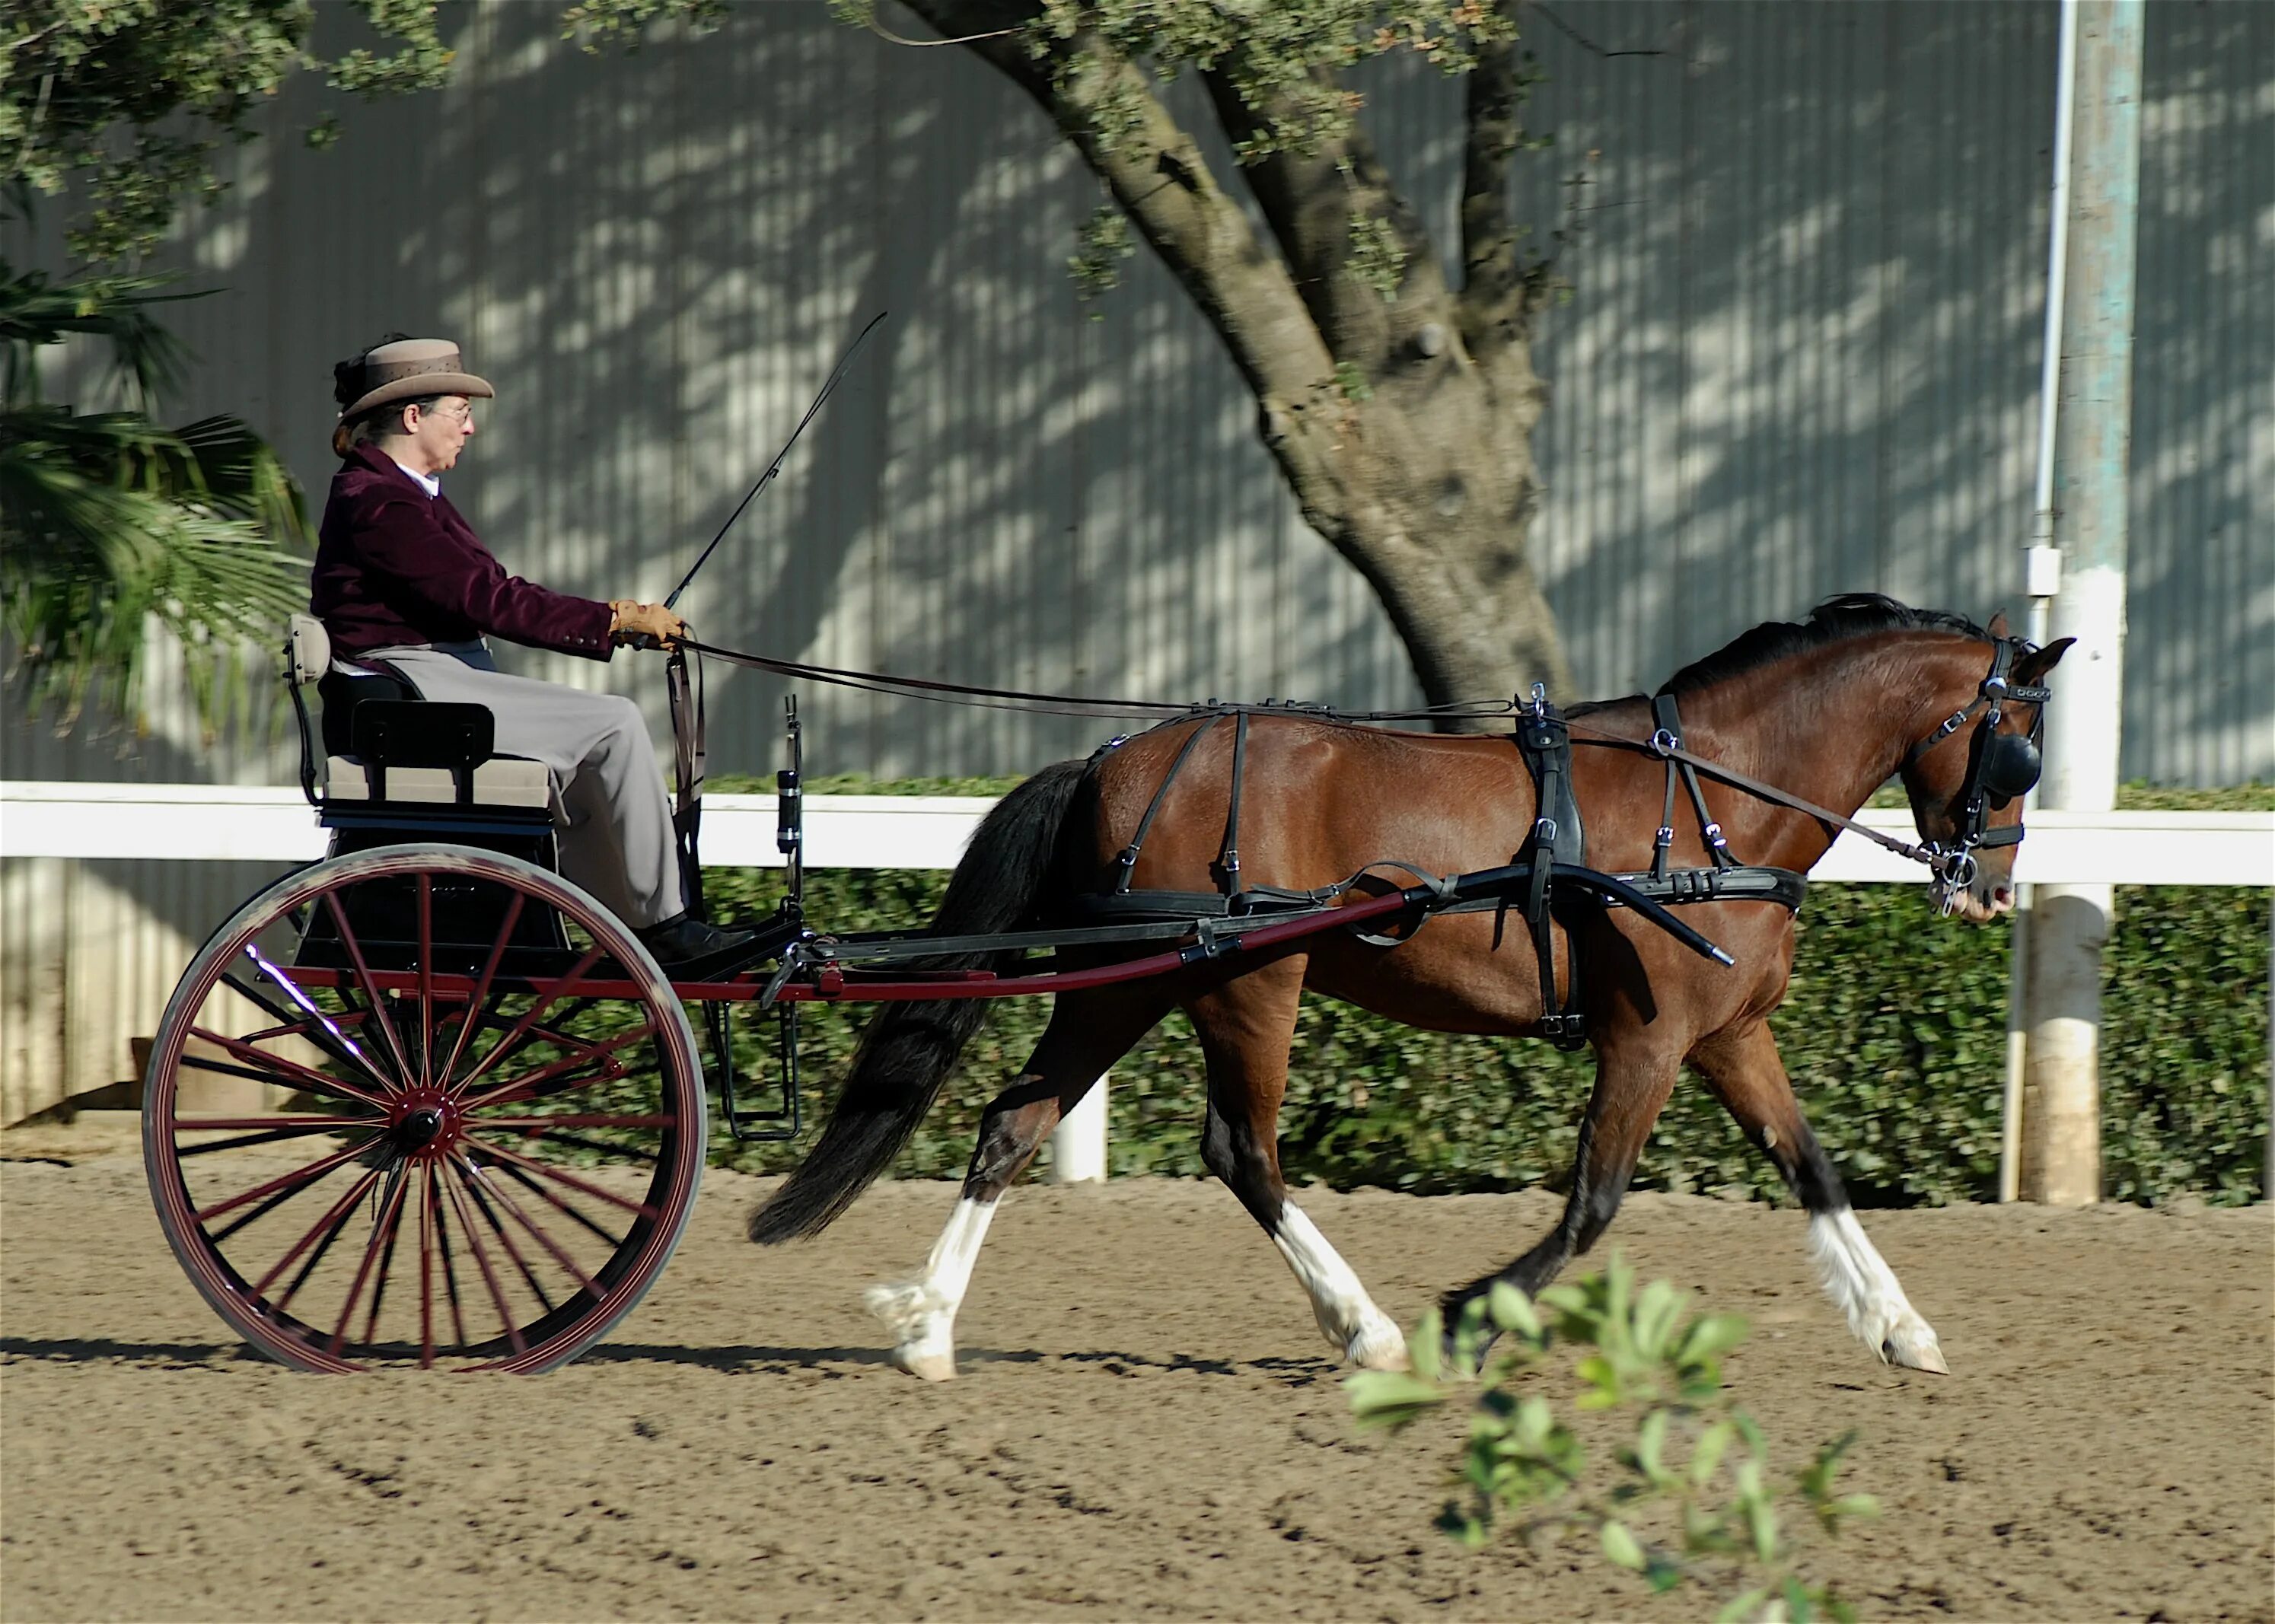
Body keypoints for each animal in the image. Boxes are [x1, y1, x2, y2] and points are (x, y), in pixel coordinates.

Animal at [755, 596, 2074, 1383]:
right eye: (2016, 751)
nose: (1988, 887)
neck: (1708, 801)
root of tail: (1115, 759)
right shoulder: (1646, 1040)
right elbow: (1593, 1203)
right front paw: (1468, 1318)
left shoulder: (1727, 1034)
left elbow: (1813, 1169)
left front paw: (1901, 1323)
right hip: (1248, 981)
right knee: (1242, 1150)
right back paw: (1368, 1326)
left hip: (1125, 985)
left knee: (1013, 1123)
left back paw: (930, 1326)